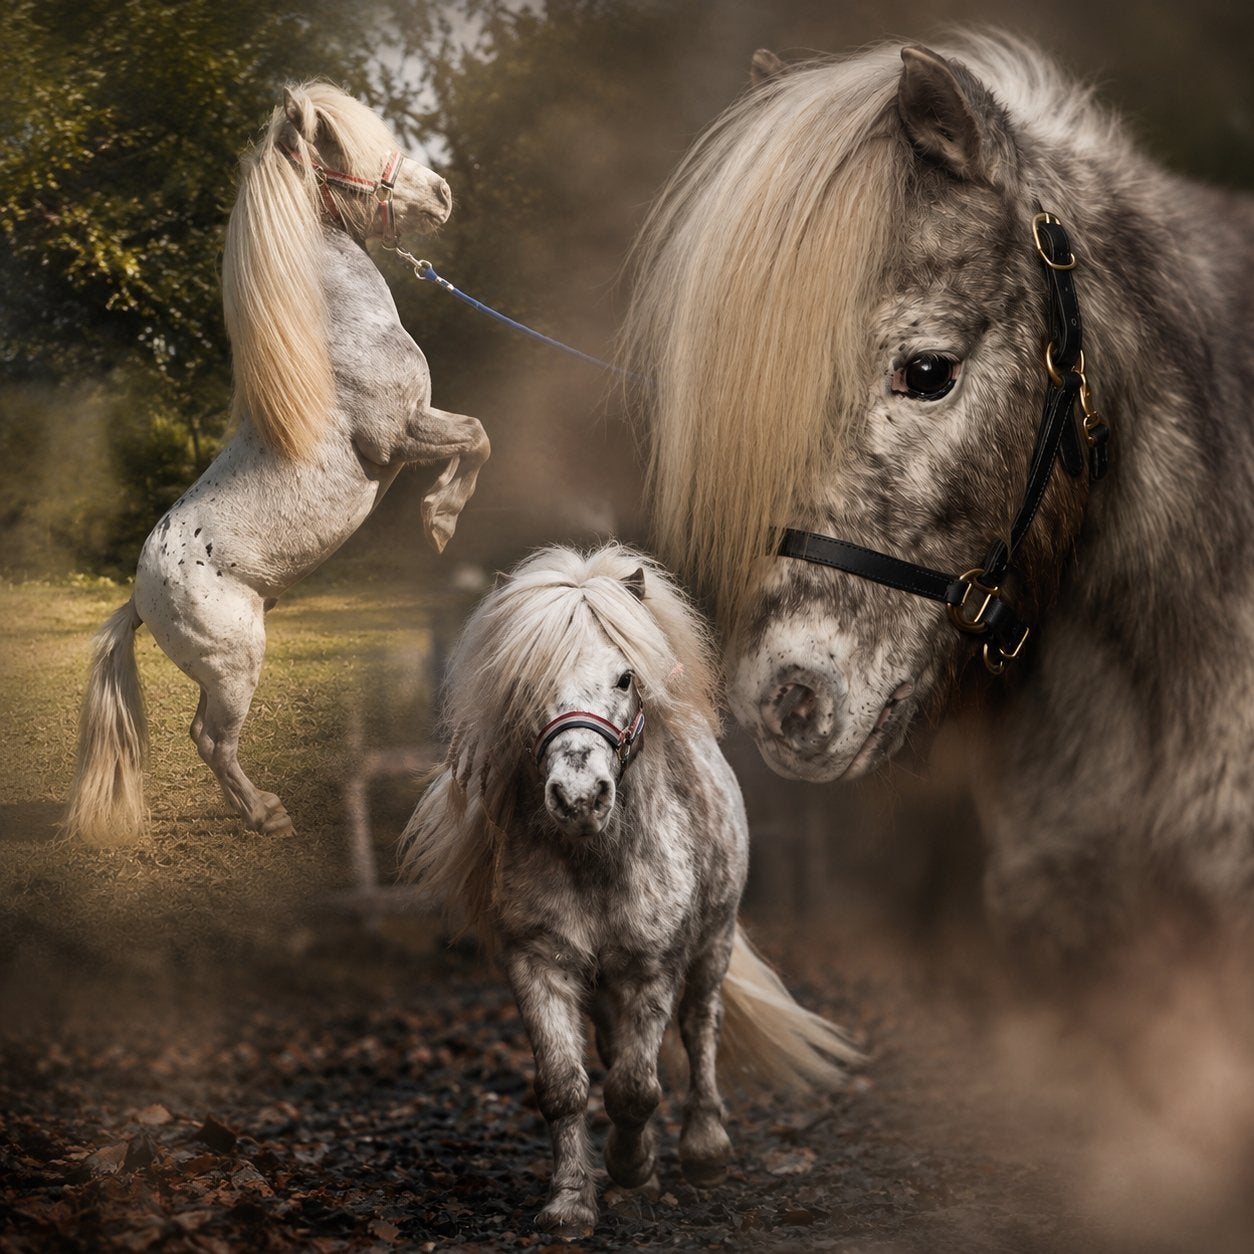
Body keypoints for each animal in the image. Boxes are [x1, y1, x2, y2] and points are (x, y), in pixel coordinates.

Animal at [63, 81, 490, 845]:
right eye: (347, 150)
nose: (442, 192)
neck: (340, 335)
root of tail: (139, 597)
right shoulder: (402, 436)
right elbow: (476, 435)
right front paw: (439, 520)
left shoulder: (417, 430)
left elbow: (475, 435)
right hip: (237, 666)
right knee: (210, 738)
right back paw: (268, 815)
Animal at [400, 543, 858, 1237]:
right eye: (525, 682)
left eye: (623, 678)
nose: (579, 797)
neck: (595, 860)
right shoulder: (540, 963)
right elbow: (566, 1085)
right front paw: (571, 1202)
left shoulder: (652, 968)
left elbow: (636, 1088)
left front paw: (633, 1169)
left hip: (713, 946)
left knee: (700, 1027)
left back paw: (704, 1151)